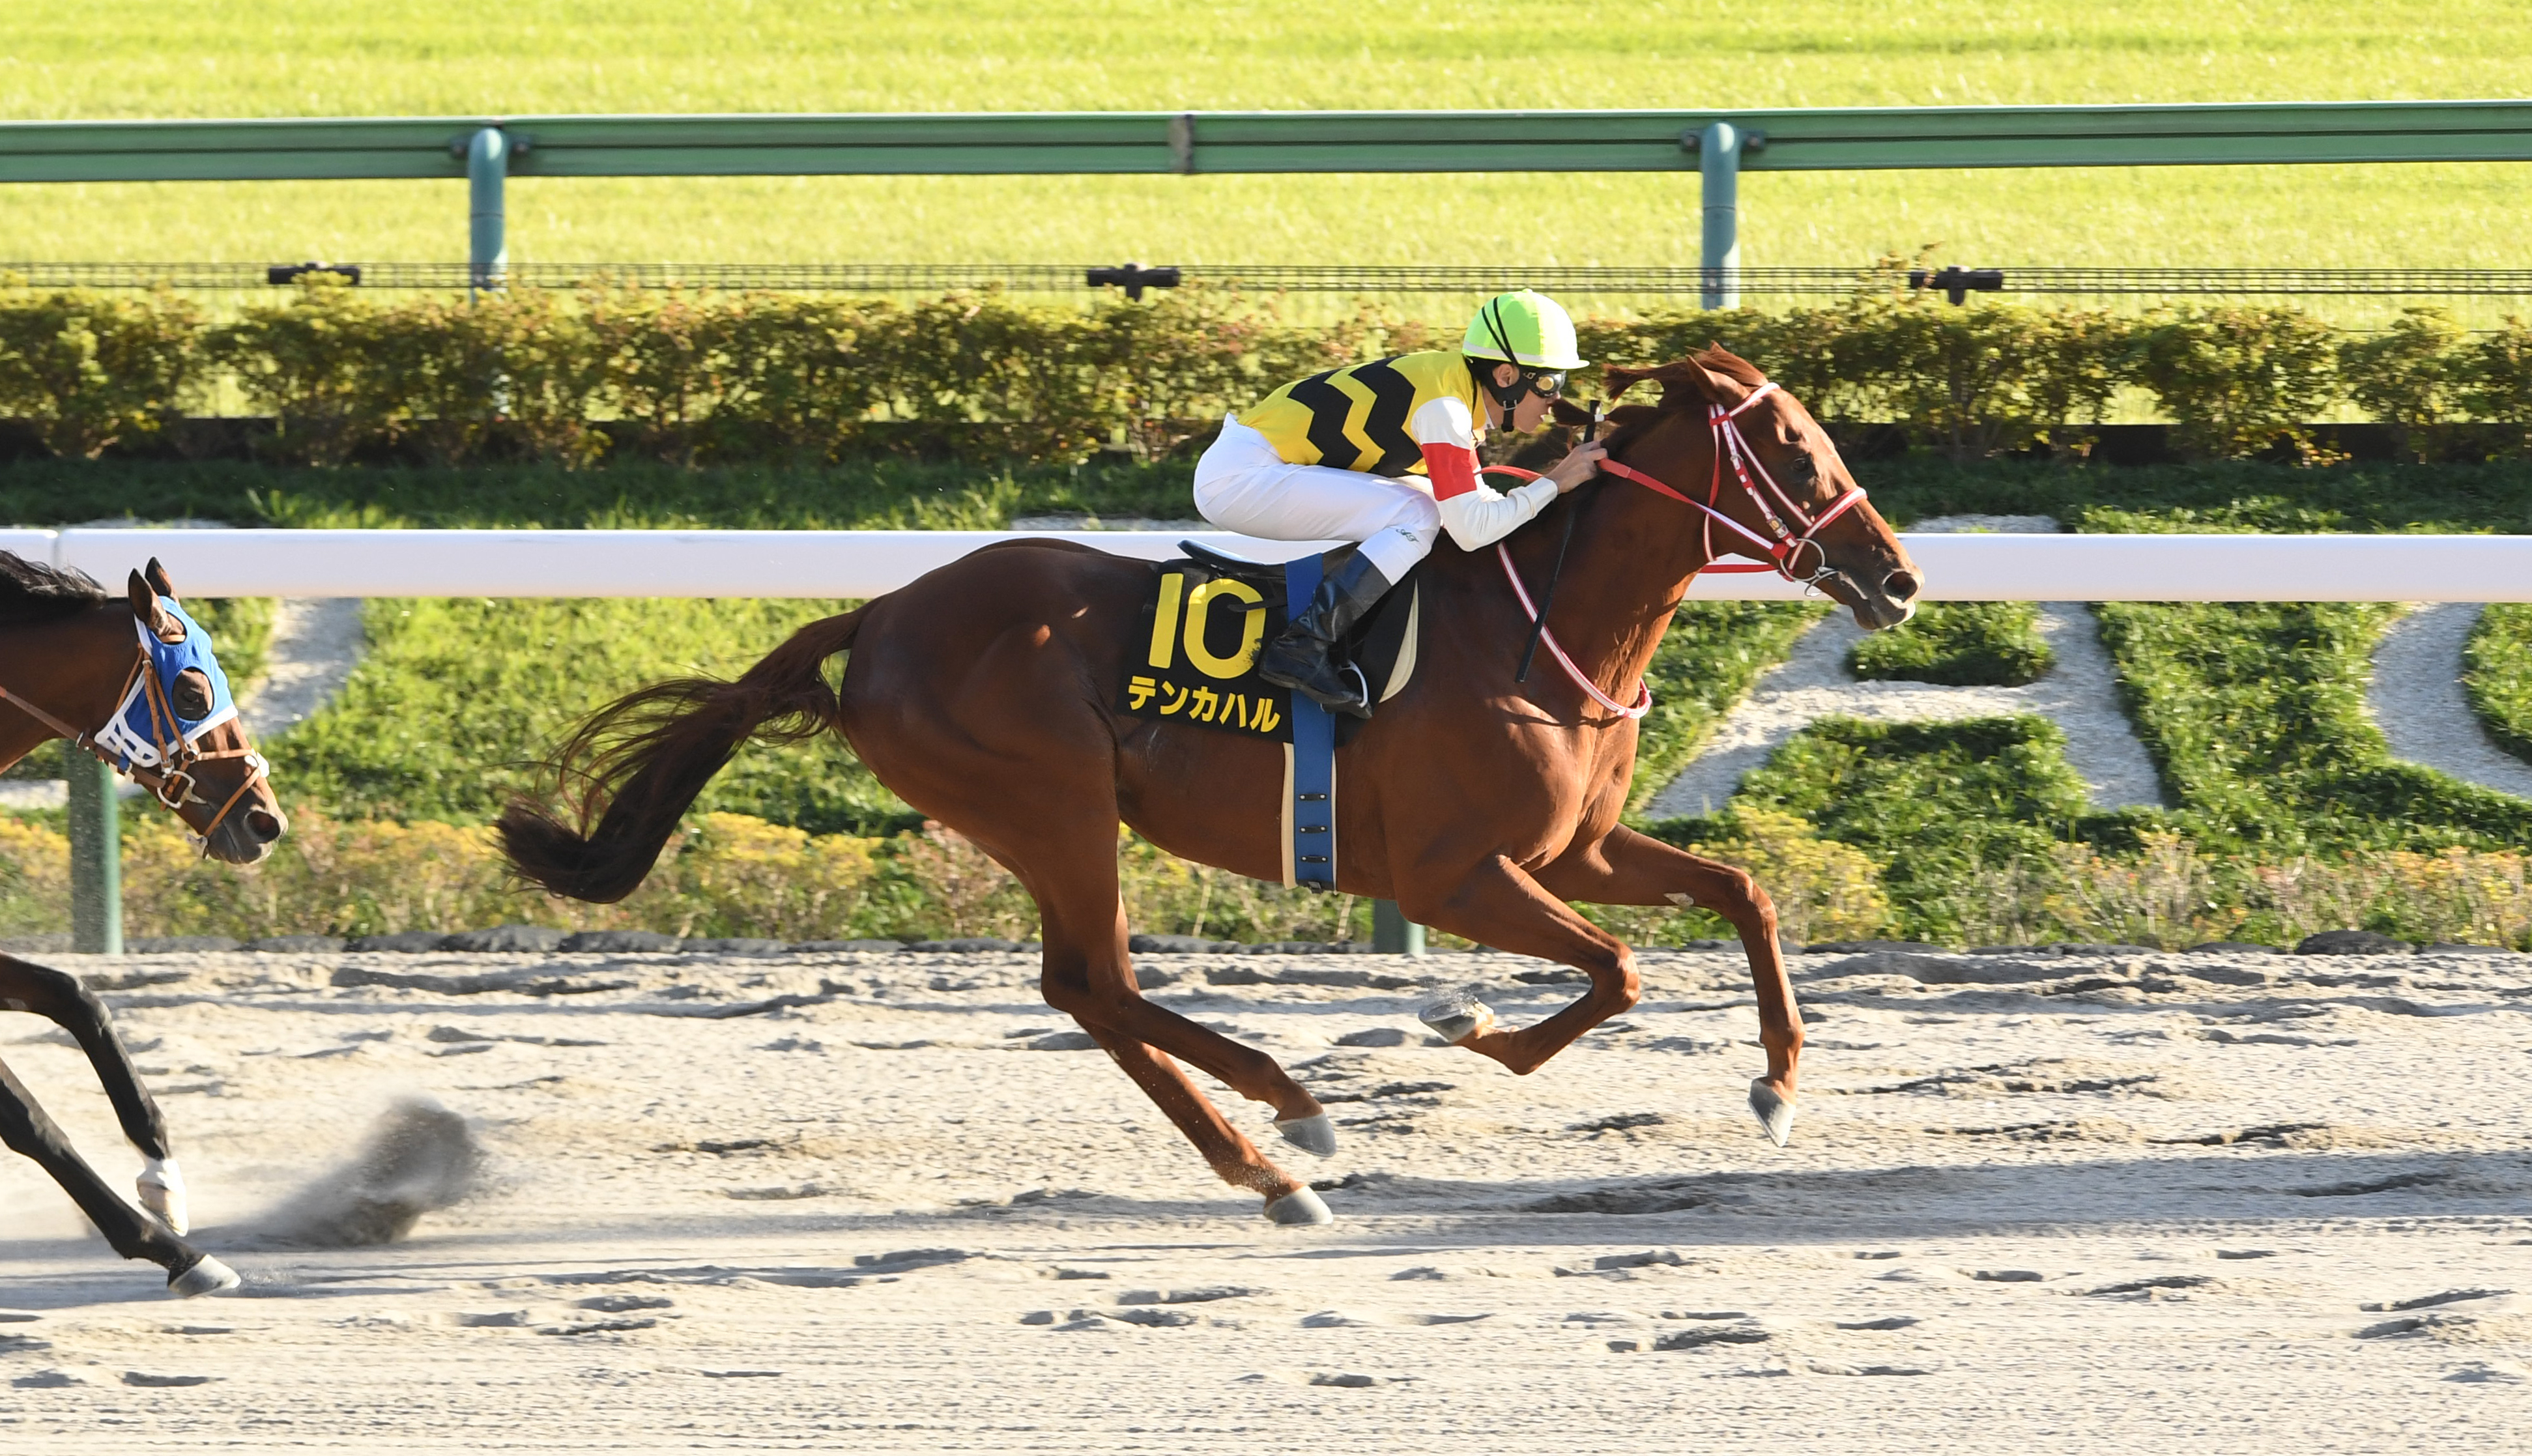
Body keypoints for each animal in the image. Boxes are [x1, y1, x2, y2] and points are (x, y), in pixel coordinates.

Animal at [0, 552, 289, 1291]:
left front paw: (164, 1179)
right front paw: (174, 1251)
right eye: (190, 692)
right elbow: (27, 1117)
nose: (266, 821)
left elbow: (79, 997)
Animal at [498, 349, 1914, 1220]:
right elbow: (1615, 971)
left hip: (1049, 818)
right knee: (1095, 984)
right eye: (1794, 451)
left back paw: (1269, 1153)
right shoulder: (1452, 873)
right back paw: (1287, 1129)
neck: (1534, 622)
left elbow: (1741, 896)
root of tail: (882, 614)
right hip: (1055, 805)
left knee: (1088, 990)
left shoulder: (1573, 848)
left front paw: (1778, 1089)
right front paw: (1468, 1025)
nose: (1896, 579)